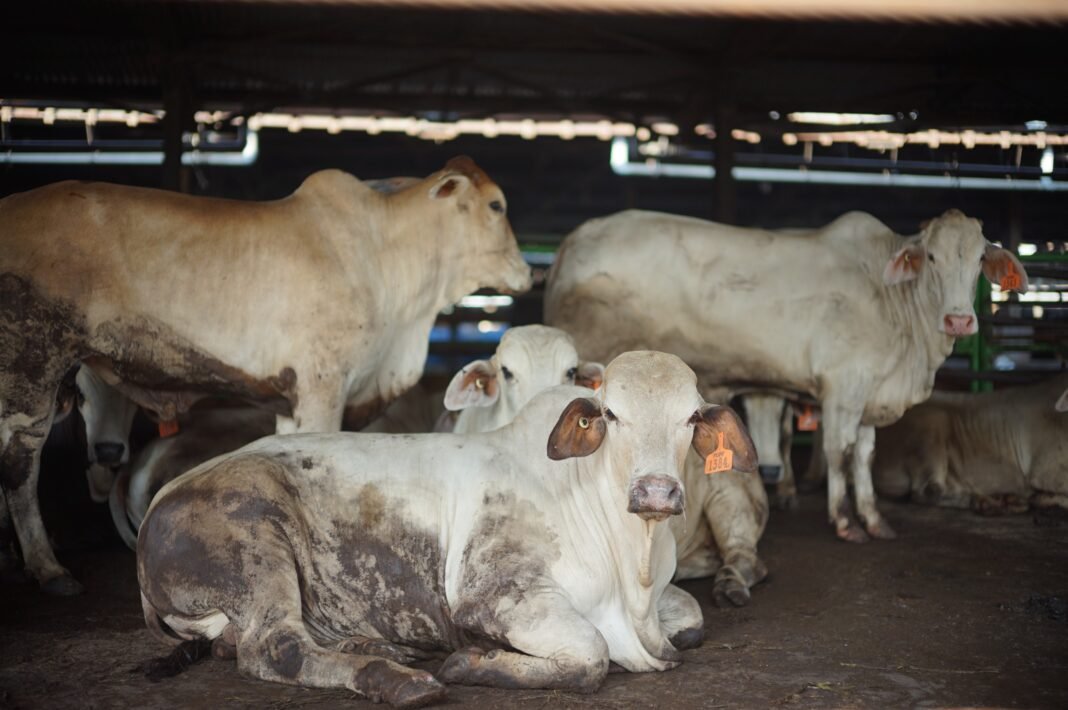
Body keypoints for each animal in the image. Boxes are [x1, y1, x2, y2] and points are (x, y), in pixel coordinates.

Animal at [0, 156, 531, 594]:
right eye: (496, 204)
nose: (526, 272)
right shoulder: (322, 387)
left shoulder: (291, 401)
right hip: (31, 362)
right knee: (21, 462)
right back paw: (48, 568)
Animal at [136, 351, 758, 705]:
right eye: (610, 415)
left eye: (691, 416)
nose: (655, 491)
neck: (636, 571)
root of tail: (159, 504)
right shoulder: (497, 593)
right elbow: (591, 653)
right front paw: (470, 661)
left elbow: (692, 620)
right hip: (256, 545)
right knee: (276, 647)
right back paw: (397, 680)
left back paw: (377, 645)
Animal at [445, 326, 768, 608]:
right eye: (507, 371)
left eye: (692, 417)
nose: (656, 492)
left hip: (731, 500)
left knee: (746, 556)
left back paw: (730, 583)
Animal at [545, 208, 1028, 543]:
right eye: (931, 257)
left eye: (980, 258)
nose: (959, 320)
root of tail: (572, 243)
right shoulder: (843, 387)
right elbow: (839, 452)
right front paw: (845, 521)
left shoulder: (869, 394)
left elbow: (865, 455)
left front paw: (874, 518)